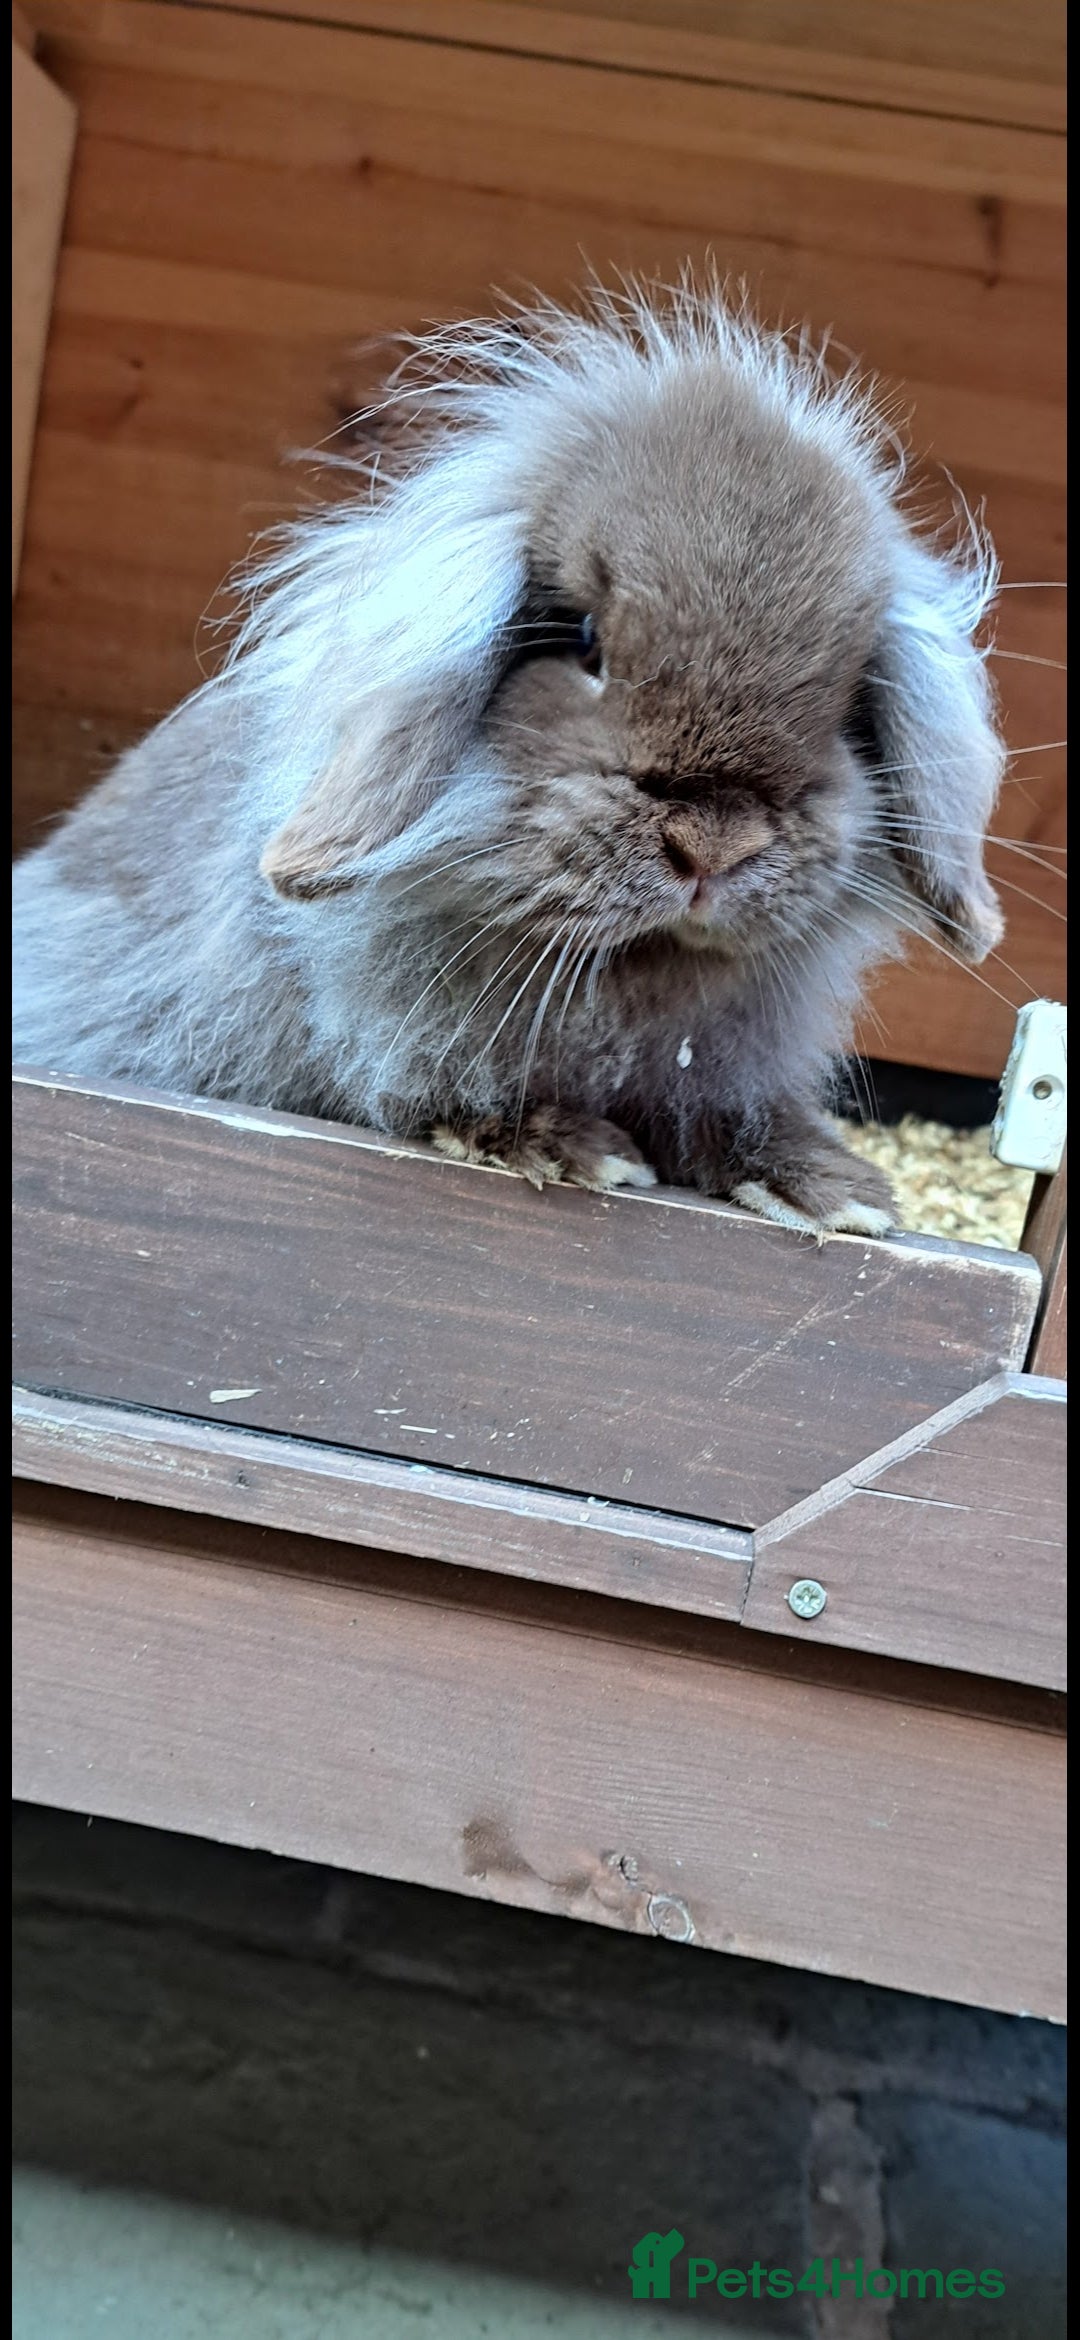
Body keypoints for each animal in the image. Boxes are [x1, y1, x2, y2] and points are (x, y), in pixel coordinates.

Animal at [11, 278, 1005, 1236]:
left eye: (847, 695)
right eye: (585, 641)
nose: (713, 847)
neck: (634, 981)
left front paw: (837, 1194)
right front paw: (575, 1150)